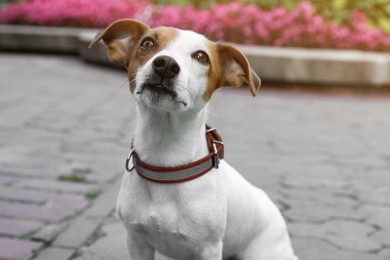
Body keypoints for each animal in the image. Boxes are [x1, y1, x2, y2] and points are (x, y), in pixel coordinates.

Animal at [90, 18, 298, 260]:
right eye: (147, 43)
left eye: (201, 57)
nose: (165, 64)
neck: (165, 163)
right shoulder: (136, 239)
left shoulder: (208, 248)